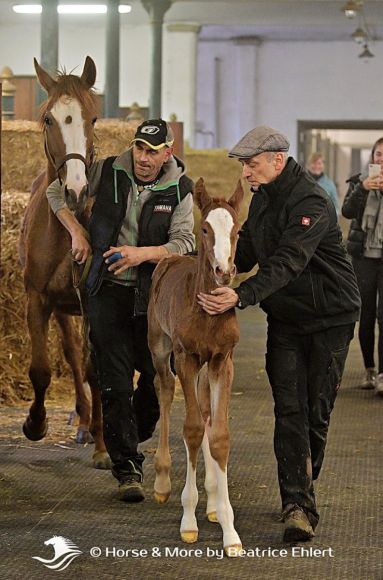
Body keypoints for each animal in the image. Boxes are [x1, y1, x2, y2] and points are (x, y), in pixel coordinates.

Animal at [148, 178, 244, 556]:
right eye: (205, 229)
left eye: (237, 230)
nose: (224, 271)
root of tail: (171, 257)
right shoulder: (186, 357)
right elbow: (190, 429)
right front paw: (188, 522)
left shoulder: (222, 361)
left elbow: (218, 435)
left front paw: (230, 531)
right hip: (160, 347)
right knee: (164, 391)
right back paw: (162, 483)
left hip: (205, 368)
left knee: (204, 410)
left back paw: (214, 502)